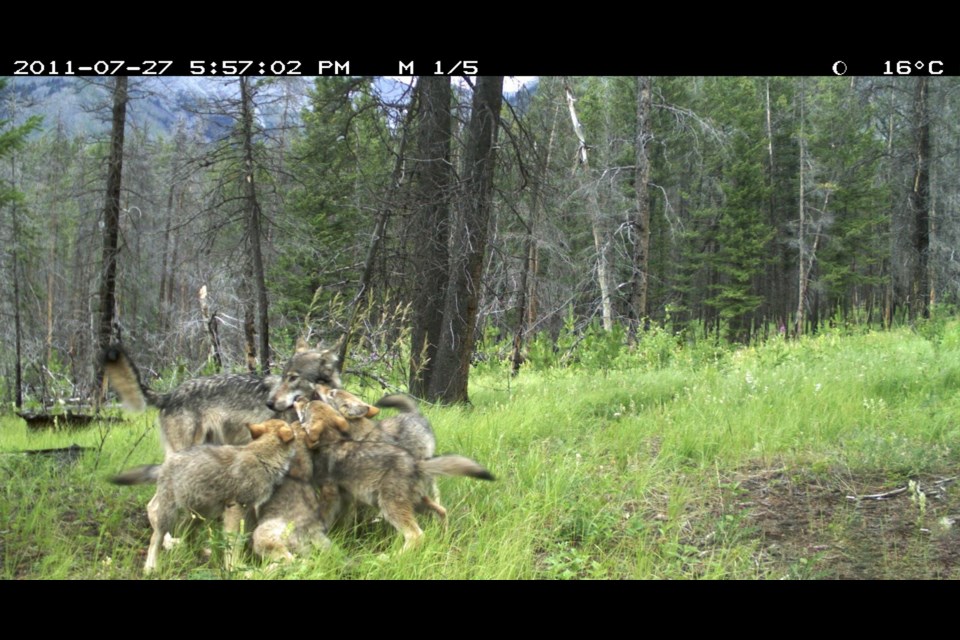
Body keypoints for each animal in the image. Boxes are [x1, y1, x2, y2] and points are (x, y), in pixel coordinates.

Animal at [144, 418, 296, 572]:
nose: (297, 423)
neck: (261, 456)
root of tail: (165, 463)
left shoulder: (249, 508)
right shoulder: (236, 508)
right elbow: (234, 541)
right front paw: (235, 566)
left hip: (198, 516)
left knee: (186, 533)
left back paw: (200, 553)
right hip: (169, 515)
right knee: (156, 538)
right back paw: (150, 567)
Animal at [298, 400, 496, 552]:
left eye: (305, 408)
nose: (298, 399)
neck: (331, 441)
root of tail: (416, 464)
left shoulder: (330, 493)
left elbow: (323, 515)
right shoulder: (346, 497)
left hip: (391, 507)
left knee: (416, 535)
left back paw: (389, 558)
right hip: (416, 503)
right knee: (441, 511)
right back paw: (444, 538)